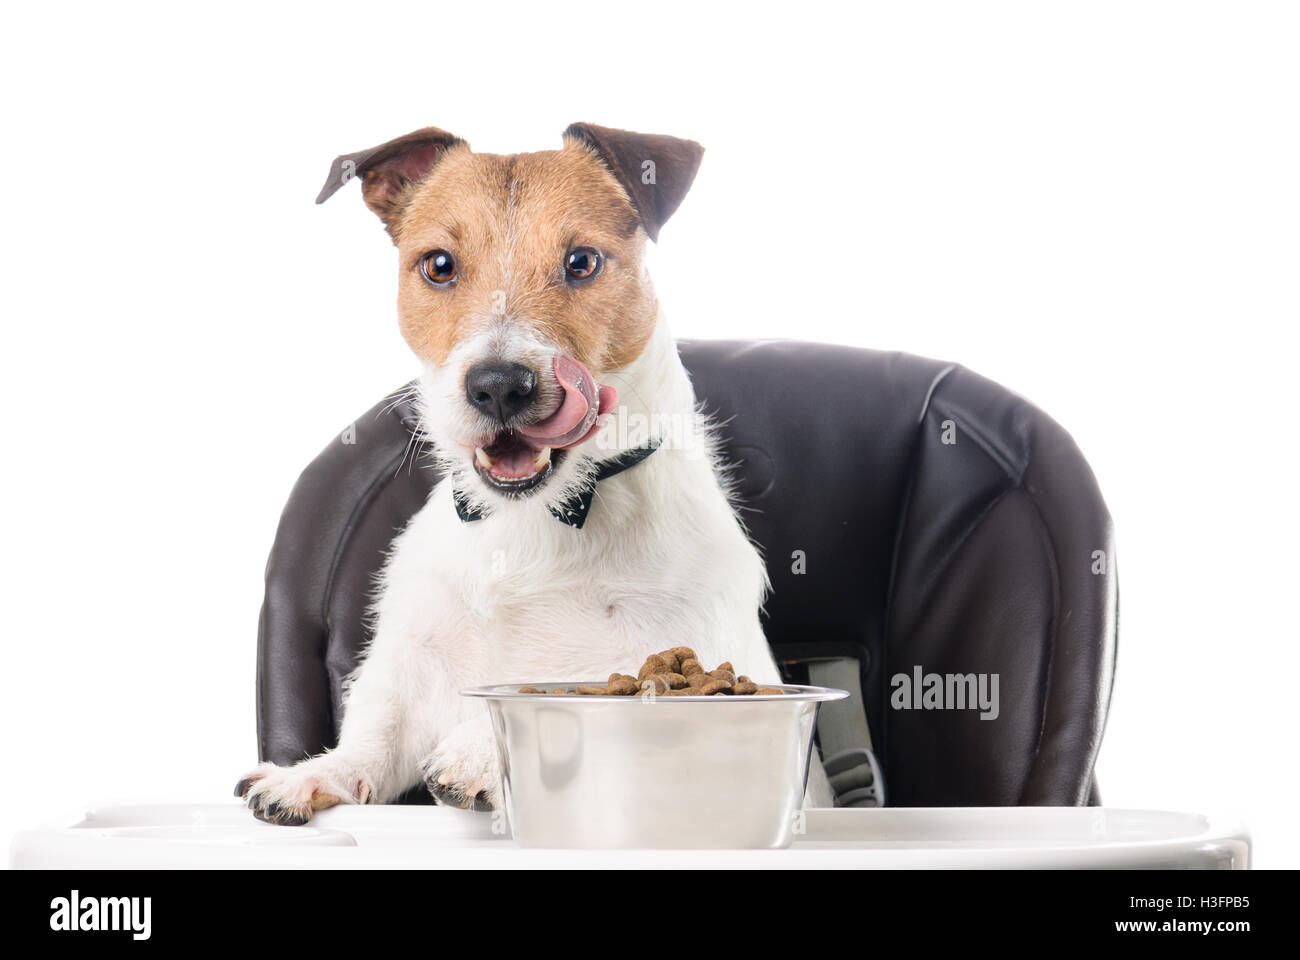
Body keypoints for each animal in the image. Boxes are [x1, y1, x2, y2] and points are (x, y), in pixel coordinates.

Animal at [235, 123, 826, 816]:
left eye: (582, 262)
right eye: (439, 265)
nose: (498, 387)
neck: (541, 516)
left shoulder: (679, 648)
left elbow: (587, 686)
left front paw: (477, 753)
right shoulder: (414, 661)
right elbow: (378, 730)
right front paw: (315, 773)